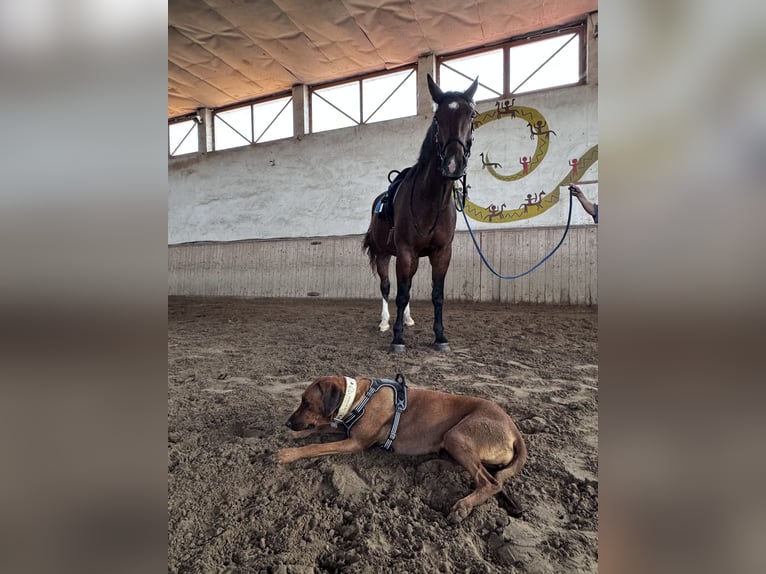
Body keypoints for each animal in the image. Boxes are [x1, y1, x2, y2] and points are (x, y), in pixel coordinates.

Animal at [276, 376, 528, 524]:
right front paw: (295, 435)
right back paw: (432, 465)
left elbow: (317, 446)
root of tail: (514, 429)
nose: (287, 423)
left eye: (307, 403)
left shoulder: (355, 442)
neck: (358, 398)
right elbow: (321, 428)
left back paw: (463, 505)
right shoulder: (345, 431)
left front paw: (288, 453)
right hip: (454, 441)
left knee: (490, 481)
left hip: (456, 435)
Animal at [364, 74, 476, 354]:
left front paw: (440, 336)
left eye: (471, 114)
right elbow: (401, 293)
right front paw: (397, 338)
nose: (453, 163)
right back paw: (384, 322)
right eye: (437, 117)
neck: (431, 201)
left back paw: (407, 318)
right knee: (387, 287)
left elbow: (436, 295)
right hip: (383, 254)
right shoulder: (405, 251)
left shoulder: (442, 253)